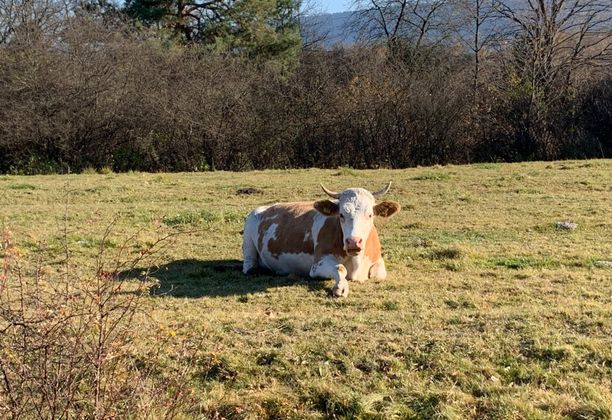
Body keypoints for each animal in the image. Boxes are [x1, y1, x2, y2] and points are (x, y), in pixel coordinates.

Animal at [241, 182, 400, 296]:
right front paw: (341, 286)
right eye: (341, 215)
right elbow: (340, 268)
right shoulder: (318, 263)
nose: (353, 242)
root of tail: (264, 207)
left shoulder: (377, 261)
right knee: (249, 263)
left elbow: (378, 274)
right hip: (249, 230)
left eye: (370, 215)